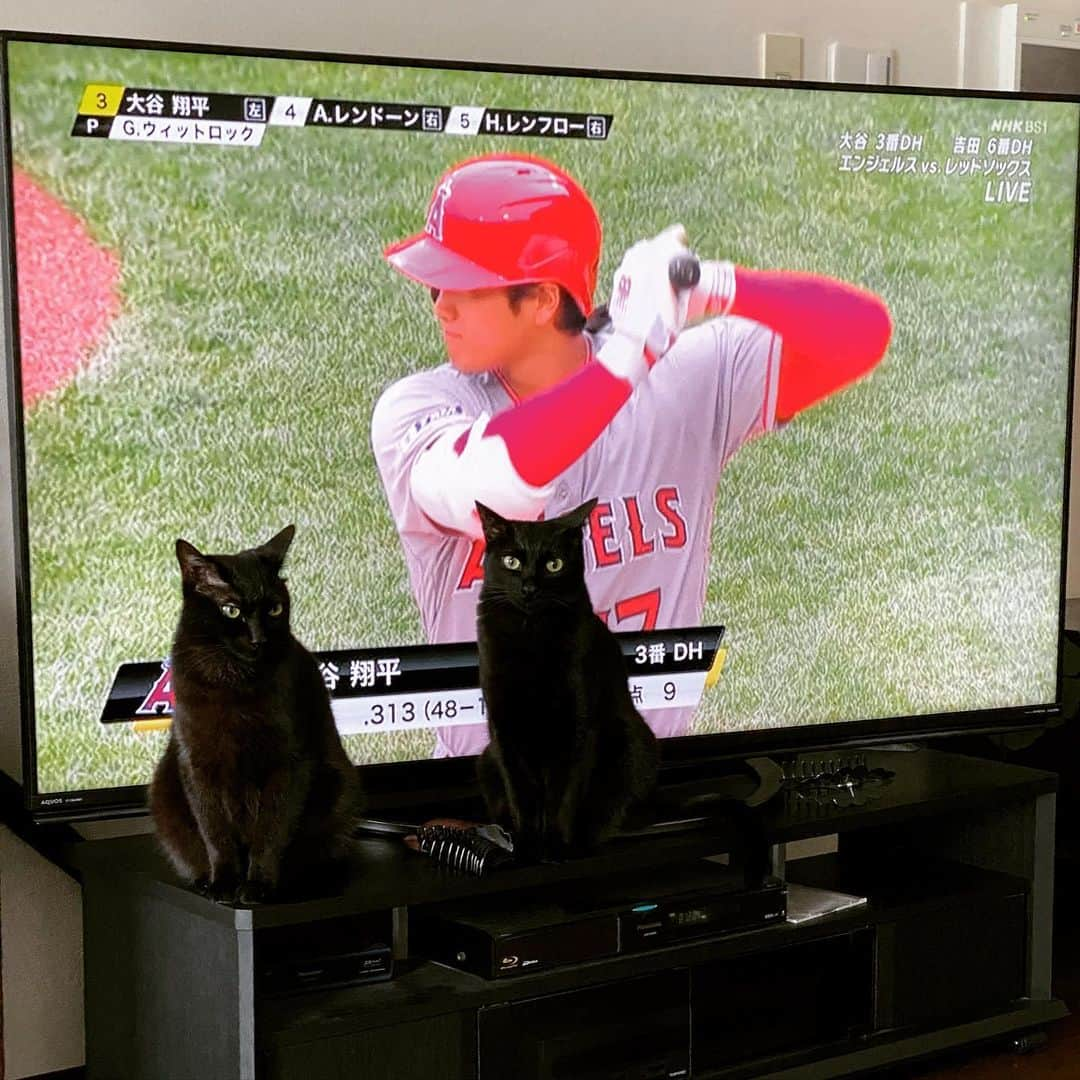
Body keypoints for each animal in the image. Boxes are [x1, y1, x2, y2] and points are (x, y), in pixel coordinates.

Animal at [149, 522, 362, 902]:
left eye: (274, 609)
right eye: (231, 610)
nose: (258, 638)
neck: (235, 679)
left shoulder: (288, 763)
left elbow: (271, 831)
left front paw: (258, 886)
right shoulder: (198, 764)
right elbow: (215, 833)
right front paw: (223, 884)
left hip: (341, 790)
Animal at [479, 496, 660, 859]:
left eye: (554, 565)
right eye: (511, 561)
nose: (529, 587)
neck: (530, 635)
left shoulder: (578, 724)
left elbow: (563, 796)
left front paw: (555, 848)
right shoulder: (503, 728)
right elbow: (521, 794)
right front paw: (526, 845)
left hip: (629, 748)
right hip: (487, 759)